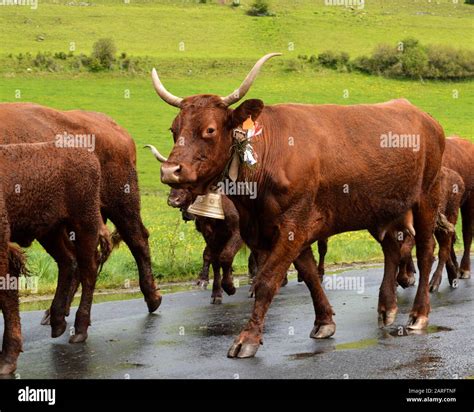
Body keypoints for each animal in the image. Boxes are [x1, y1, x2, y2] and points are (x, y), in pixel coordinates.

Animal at [0, 102, 162, 318]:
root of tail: (116, 129)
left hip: (121, 203)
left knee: (137, 240)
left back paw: (153, 300)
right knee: (76, 258)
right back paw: (55, 313)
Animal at [0, 142, 109, 374]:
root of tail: (86, 154)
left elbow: (6, 294)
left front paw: (7, 359)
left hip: (84, 224)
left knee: (88, 269)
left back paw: (79, 329)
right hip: (51, 231)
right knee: (68, 262)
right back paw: (58, 322)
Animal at [147, 54, 444, 358]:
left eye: (209, 129)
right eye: (174, 129)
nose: (170, 171)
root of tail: (423, 116)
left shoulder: (294, 225)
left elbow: (267, 280)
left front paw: (248, 338)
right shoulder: (281, 228)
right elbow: (309, 274)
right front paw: (324, 322)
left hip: (426, 197)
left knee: (425, 251)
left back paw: (419, 314)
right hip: (380, 209)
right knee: (392, 249)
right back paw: (387, 308)